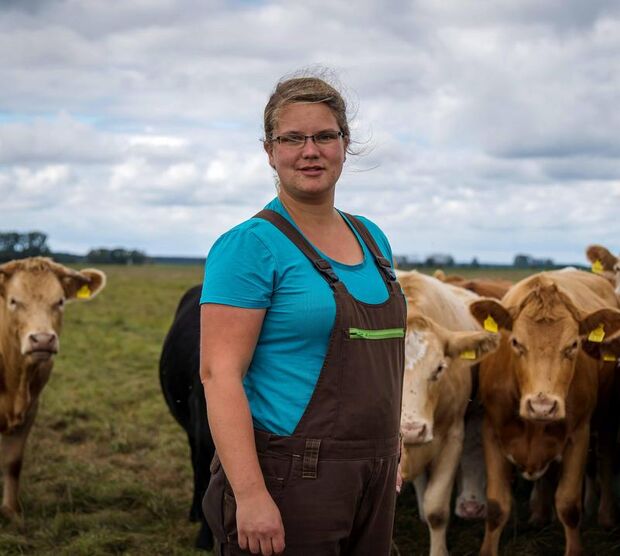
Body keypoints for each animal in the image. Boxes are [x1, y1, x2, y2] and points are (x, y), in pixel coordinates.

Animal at [0, 258, 105, 520]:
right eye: (13, 301)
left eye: (59, 301)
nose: (42, 340)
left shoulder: (30, 408)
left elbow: (13, 461)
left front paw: (11, 510)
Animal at [470, 270, 620, 556]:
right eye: (516, 342)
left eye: (573, 345)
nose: (542, 406)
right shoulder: (491, 431)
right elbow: (496, 506)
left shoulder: (579, 435)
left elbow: (569, 506)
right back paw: (539, 515)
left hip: (607, 417)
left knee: (607, 457)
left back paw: (607, 516)